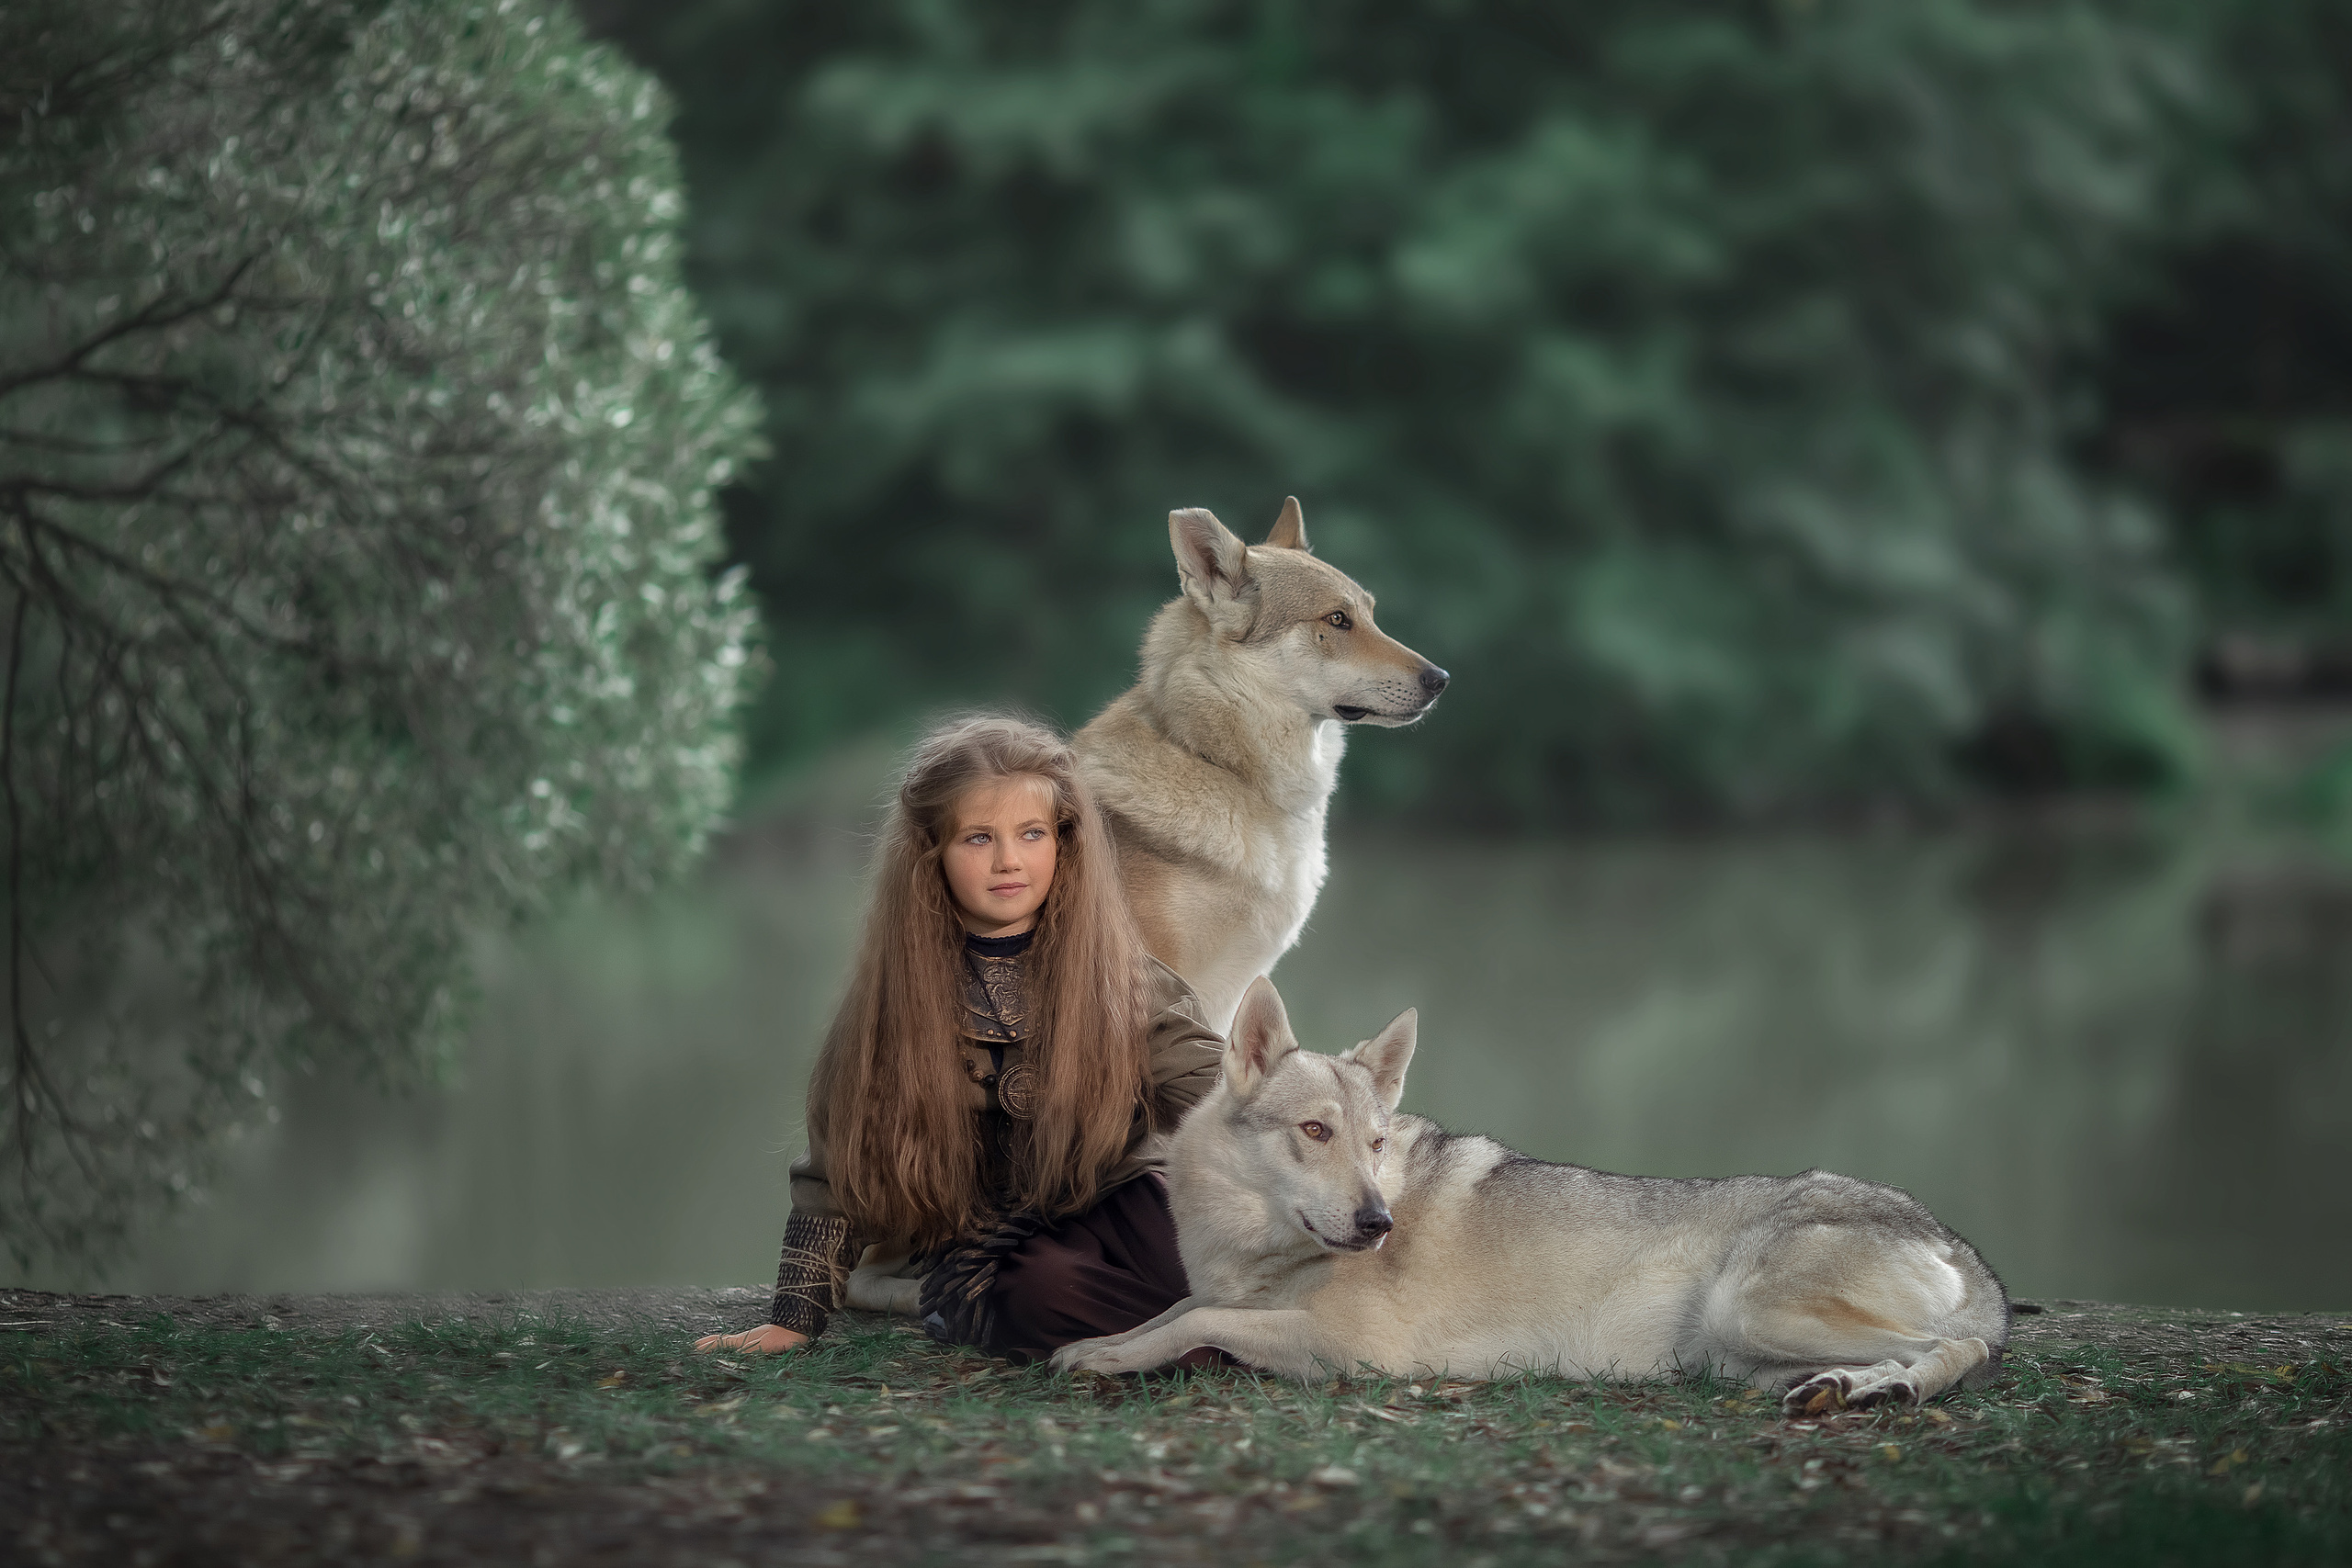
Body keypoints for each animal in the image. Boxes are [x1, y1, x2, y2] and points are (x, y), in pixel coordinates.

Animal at [1049, 977, 2010, 1411]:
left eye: (1372, 1142)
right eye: (1315, 1132)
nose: (1377, 1221)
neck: (1251, 1246)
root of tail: (1959, 1243)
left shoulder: (1356, 1349)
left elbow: (1199, 1320)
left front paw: (1102, 1357)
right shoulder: (1227, 1294)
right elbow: (1172, 1311)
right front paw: (1097, 1345)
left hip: (1750, 1308)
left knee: (1964, 1349)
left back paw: (1887, 1385)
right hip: (1734, 1349)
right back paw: (1847, 1386)